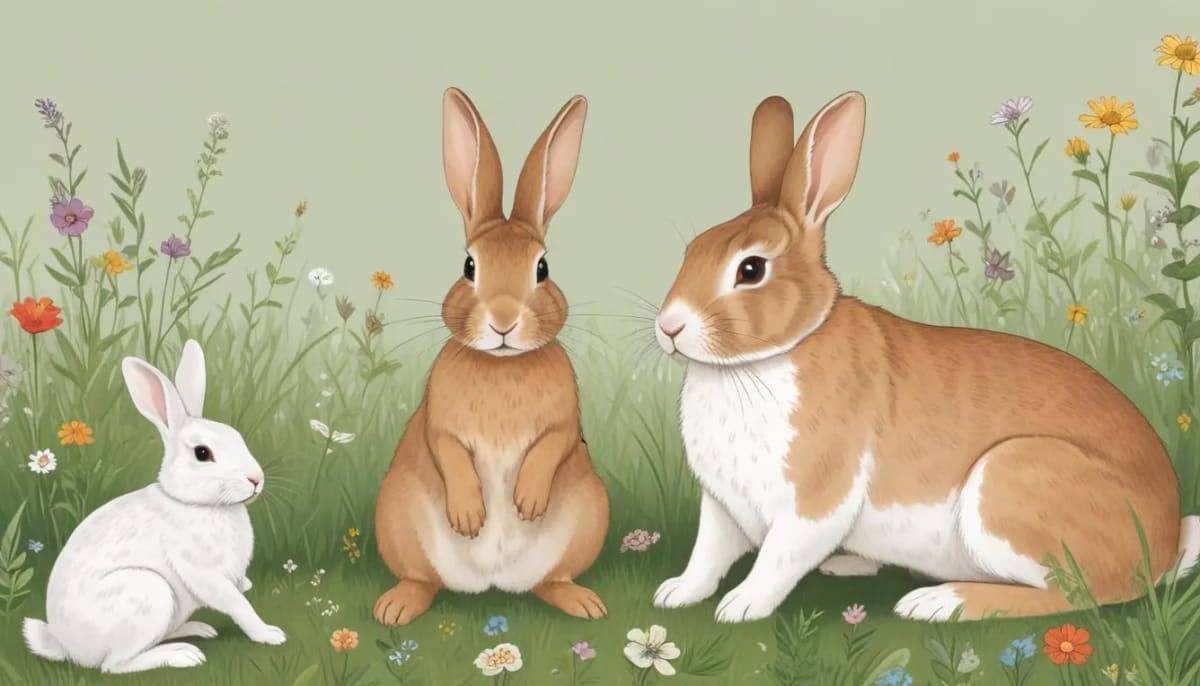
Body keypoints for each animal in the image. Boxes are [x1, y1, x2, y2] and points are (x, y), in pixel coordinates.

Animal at [22, 340, 285, 673]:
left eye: (238, 437)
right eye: (202, 453)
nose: (256, 479)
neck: (198, 504)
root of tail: (66, 646)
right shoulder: (204, 574)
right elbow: (239, 605)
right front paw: (269, 634)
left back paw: (197, 629)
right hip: (149, 594)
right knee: (115, 665)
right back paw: (182, 655)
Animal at [372, 87, 610, 626]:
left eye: (542, 268)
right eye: (468, 265)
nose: (503, 320)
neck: (503, 366)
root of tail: (492, 583)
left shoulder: (566, 422)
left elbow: (553, 444)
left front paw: (527, 500)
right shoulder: (439, 422)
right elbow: (448, 450)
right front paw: (469, 515)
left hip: (591, 510)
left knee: (551, 580)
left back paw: (583, 604)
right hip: (396, 512)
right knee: (421, 578)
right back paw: (395, 608)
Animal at [650, 91, 1200, 623]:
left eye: (751, 269)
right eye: (692, 250)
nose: (669, 327)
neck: (770, 354)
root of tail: (1162, 548)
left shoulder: (816, 499)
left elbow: (777, 559)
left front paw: (740, 608)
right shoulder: (722, 506)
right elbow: (708, 555)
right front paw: (675, 594)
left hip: (1008, 482)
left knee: (1078, 595)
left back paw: (937, 602)